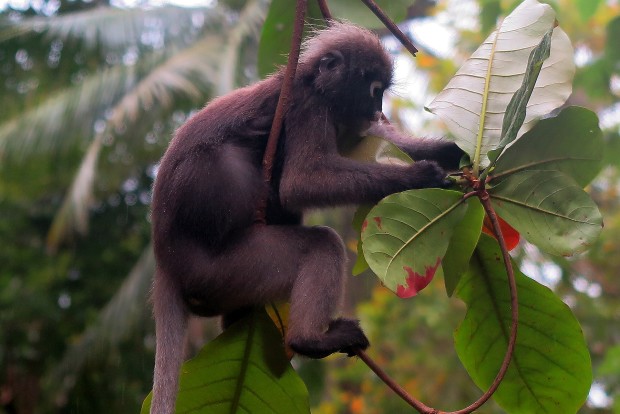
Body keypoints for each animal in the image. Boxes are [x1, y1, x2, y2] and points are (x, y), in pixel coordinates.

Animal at [149, 22, 460, 414]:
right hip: (226, 267)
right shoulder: (309, 107)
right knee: (317, 240)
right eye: (374, 91)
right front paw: (418, 176)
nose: (376, 110)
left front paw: (451, 152)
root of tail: (165, 260)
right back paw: (308, 339)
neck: (310, 82)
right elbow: (301, 183)